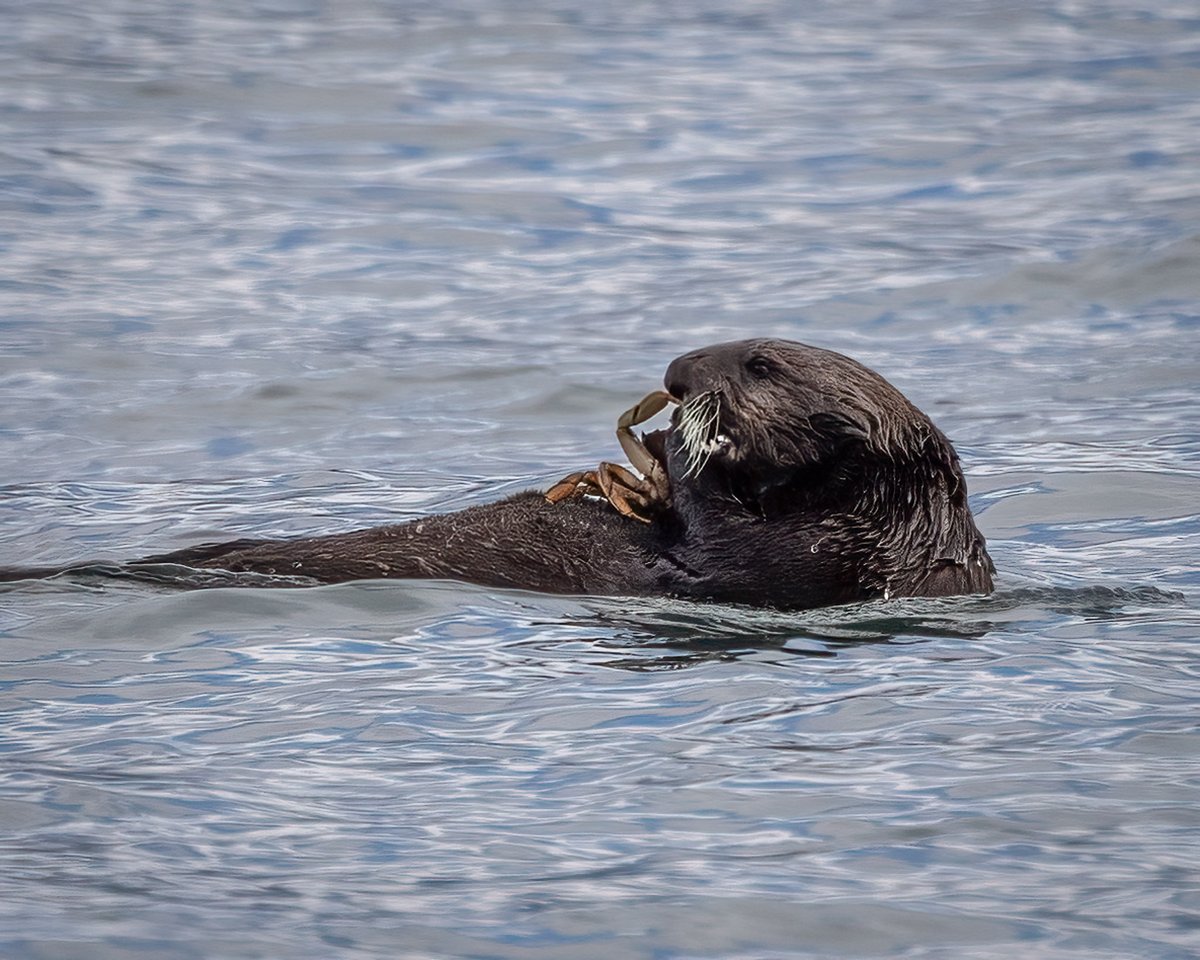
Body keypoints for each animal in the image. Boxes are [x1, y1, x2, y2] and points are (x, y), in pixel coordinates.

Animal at [0, 339, 994, 610]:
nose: (675, 374)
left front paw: (674, 447)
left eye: (757, 364)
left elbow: (718, 548)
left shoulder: (814, 564)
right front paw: (636, 450)